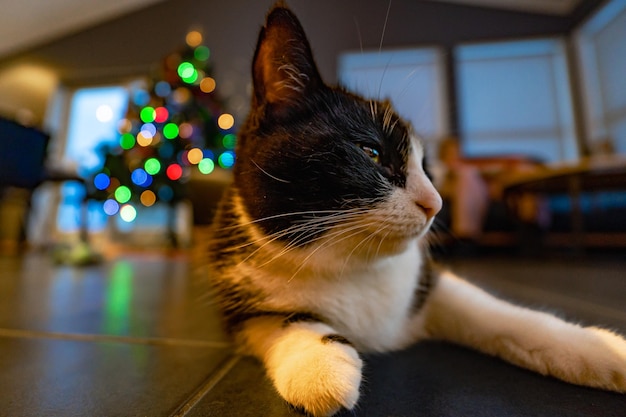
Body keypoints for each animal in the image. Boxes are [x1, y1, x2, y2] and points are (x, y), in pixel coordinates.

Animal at [206, 4, 624, 416]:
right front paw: (319, 365)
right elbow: (280, 318)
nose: (436, 203)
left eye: (427, 167)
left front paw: (601, 350)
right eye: (371, 152)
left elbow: (502, 314)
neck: (353, 268)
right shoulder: (234, 299)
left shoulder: (427, 281)